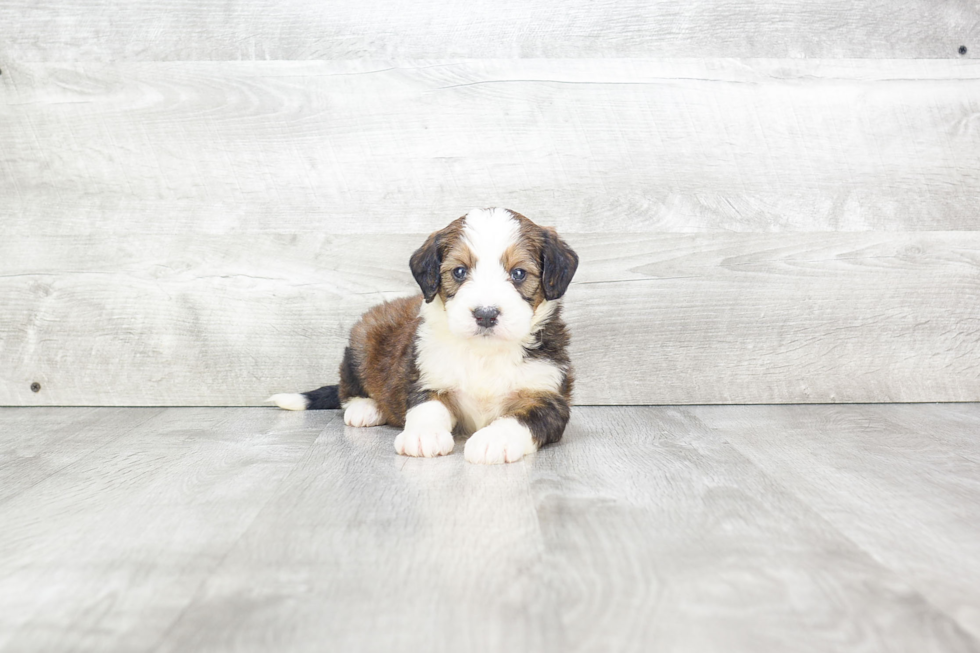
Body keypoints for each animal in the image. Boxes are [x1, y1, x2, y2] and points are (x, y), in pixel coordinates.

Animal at [268, 209, 580, 464]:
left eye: (518, 273)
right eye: (459, 271)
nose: (485, 314)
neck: (484, 353)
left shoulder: (547, 397)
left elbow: (521, 419)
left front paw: (494, 440)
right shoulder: (425, 377)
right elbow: (428, 407)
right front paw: (422, 436)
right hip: (362, 339)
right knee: (348, 387)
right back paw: (365, 408)